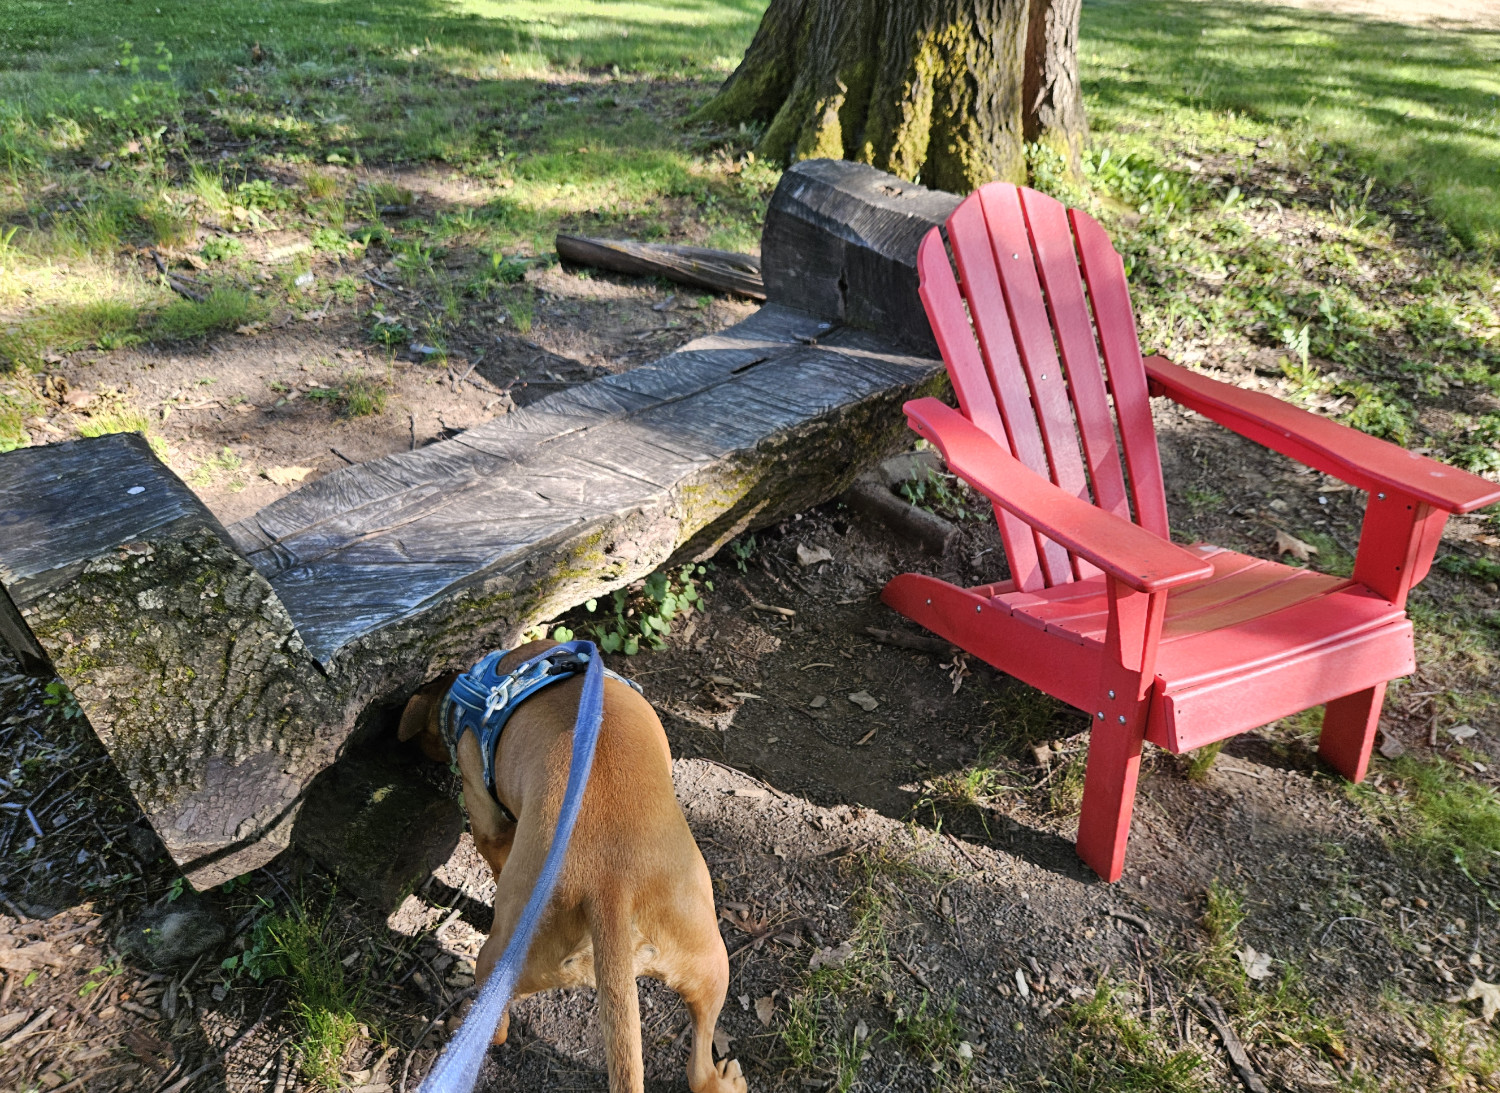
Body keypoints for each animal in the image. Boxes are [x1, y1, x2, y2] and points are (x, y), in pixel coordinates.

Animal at [402, 638, 747, 1091]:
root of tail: (610, 887)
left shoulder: (486, 813)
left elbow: (495, 854)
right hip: (711, 964)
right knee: (699, 1066)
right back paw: (724, 1080)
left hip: (498, 961)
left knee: (494, 1029)